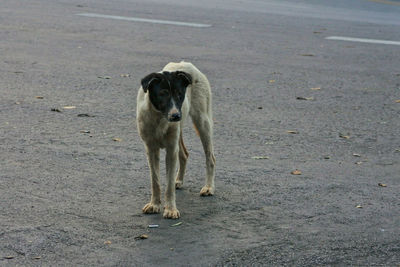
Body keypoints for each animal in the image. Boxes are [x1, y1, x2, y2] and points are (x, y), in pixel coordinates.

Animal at [136, 61, 216, 220]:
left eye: (180, 94)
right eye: (162, 94)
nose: (175, 116)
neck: (159, 119)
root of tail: (184, 63)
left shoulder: (171, 150)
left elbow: (168, 186)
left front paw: (170, 209)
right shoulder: (151, 149)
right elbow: (155, 181)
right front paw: (154, 204)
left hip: (202, 122)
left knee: (210, 157)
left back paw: (209, 187)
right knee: (184, 154)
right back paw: (178, 180)